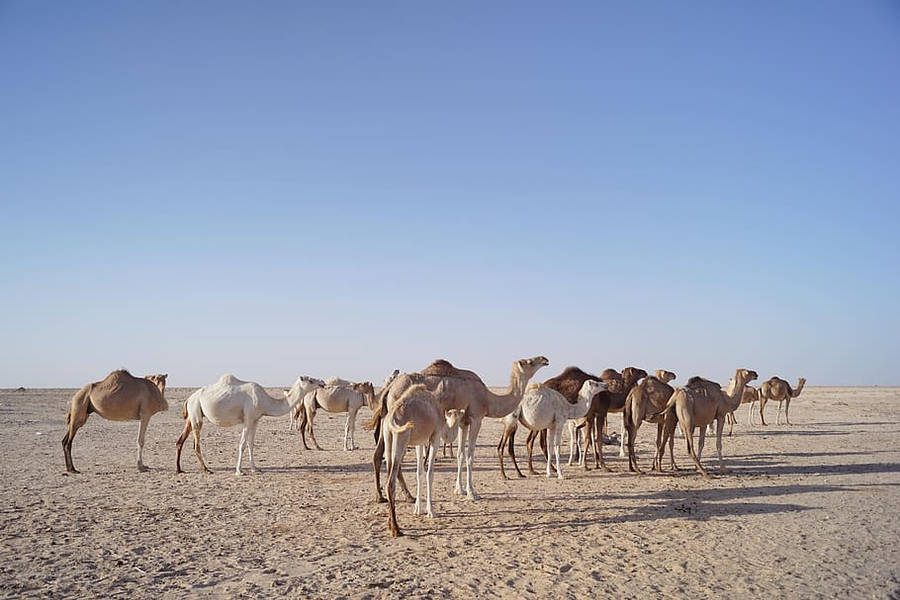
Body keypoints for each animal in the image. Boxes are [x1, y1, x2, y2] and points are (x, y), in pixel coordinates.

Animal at [174, 372, 322, 476]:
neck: (265, 401)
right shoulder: (248, 418)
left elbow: (251, 444)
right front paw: (239, 471)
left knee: (180, 440)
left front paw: (255, 468)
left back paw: (179, 469)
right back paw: (206, 469)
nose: (322, 382)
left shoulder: (255, 420)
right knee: (196, 444)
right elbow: (242, 445)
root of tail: (189, 399)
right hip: (196, 412)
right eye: (310, 380)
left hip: (192, 415)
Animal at [384, 384, 458, 540]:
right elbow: (430, 473)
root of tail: (391, 416)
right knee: (390, 483)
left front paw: (418, 509)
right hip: (401, 437)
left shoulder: (420, 442)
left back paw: (389, 524)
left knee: (388, 476)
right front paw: (431, 511)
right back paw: (396, 530)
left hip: (388, 437)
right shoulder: (435, 436)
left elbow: (419, 472)